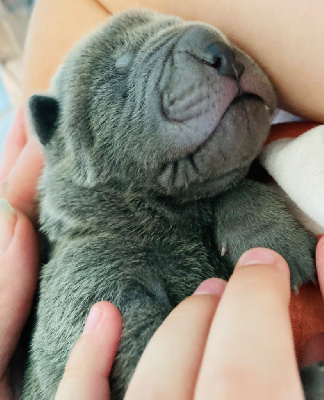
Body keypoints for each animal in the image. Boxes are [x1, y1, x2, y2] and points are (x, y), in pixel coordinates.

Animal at [23, 7, 318, 400]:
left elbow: (233, 185)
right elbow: (139, 341)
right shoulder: (85, 284)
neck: (168, 215)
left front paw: (272, 239)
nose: (219, 50)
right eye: (120, 64)